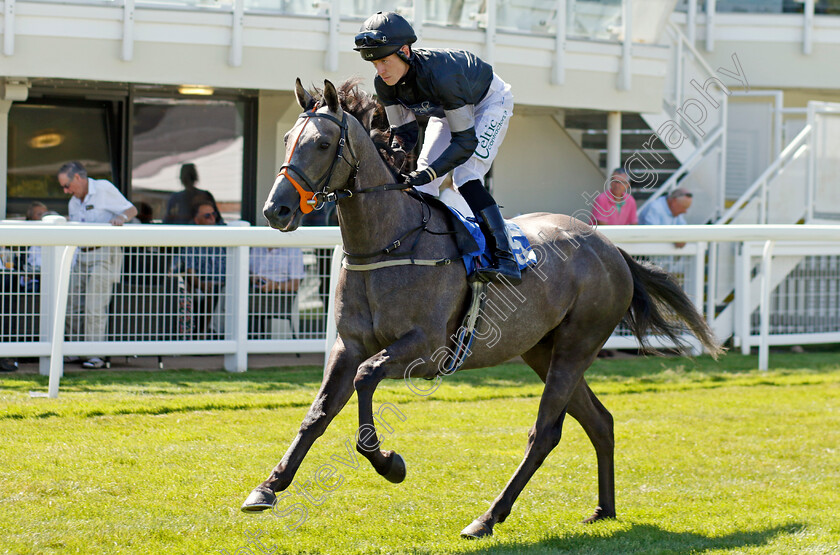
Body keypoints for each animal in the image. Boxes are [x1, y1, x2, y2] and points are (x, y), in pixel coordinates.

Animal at [244, 78, 720, 540]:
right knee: (599, 421)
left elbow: (366, 379)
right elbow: (317, 414)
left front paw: (390, 463)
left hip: (576, 346)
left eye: (323, 143)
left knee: (545, 433)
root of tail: (609, 246)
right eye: (287, 139)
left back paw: (487, 517)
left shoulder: (426, 349)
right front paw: (268, 487)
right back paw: (604, 509)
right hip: (542, 350)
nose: (276, 209)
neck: (389, 243)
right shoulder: (349, 344)